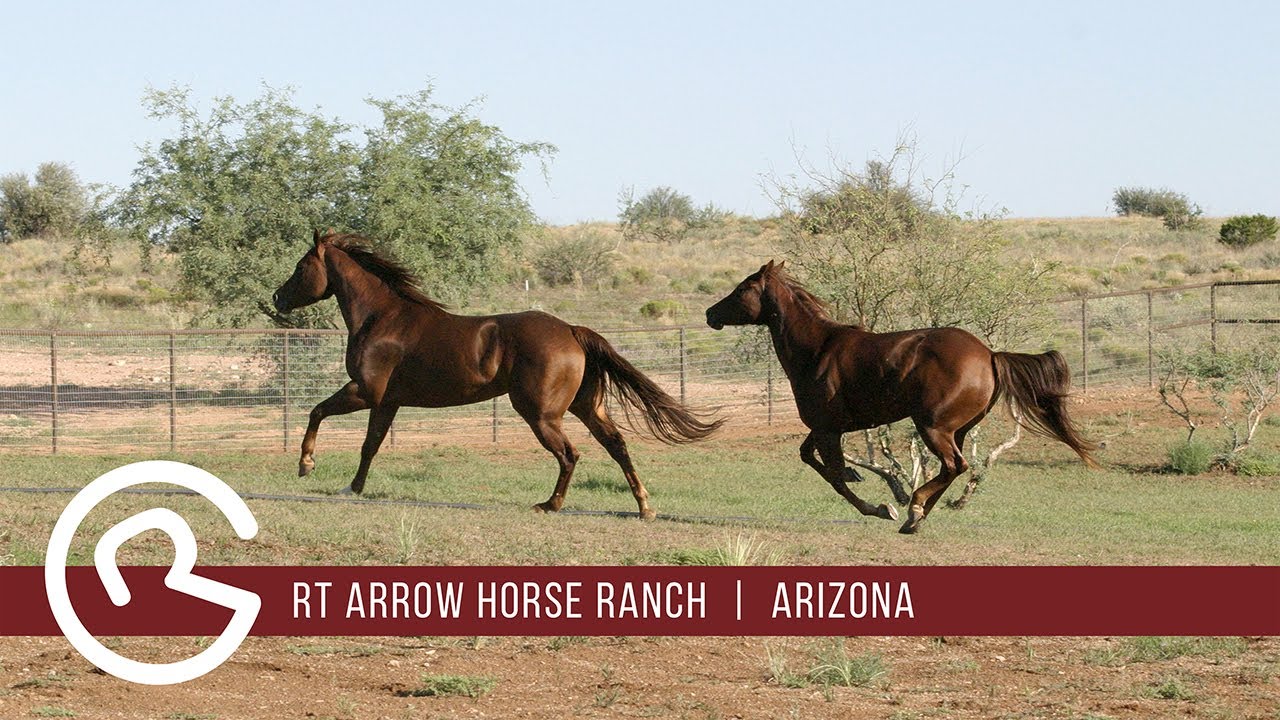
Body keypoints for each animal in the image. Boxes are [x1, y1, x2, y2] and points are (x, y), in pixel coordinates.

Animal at [271, 230, 722, 518]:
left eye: (300, 266)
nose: (277, 297)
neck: (382, 318)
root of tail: (571, 331)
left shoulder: (364, 391)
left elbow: (316, 411)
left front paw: (306, 464)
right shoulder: (388, 401)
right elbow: (370, 445)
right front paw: (352, 488)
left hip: (540, 414)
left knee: (570, 454)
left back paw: (549, 505)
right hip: (586, 407)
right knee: (616, 445)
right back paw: (645, 507)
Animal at [705, 260, 1097, 533]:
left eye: (741, 289)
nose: (710, 314)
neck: (817, 349)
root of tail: (989, 354)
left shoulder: (828, 429)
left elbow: (834, 476)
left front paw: (880, 506)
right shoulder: (823, 427)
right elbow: (810, 458)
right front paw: (863, 481)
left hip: (933, 427)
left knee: (955, 466)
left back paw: (913, 508)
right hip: (957, 430)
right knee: (953, 468)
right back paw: (916, 517)